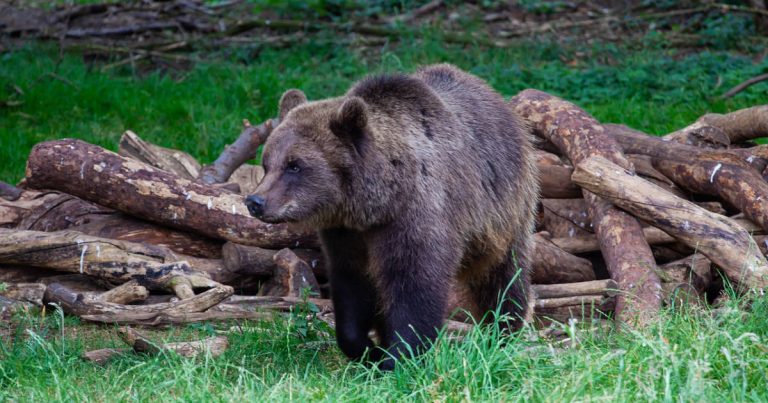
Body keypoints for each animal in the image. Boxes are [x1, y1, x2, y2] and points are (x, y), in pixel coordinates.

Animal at [249, 64, 536, 370]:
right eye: (267, 163)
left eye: (295, 165)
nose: (255, 202)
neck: (378, 203)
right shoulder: (346, 234)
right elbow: (353, 286)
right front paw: (369, 350)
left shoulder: (417, 215)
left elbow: (415, 286)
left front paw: (398, 358)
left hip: (504, 208)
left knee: (503, 275)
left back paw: (502, 332)